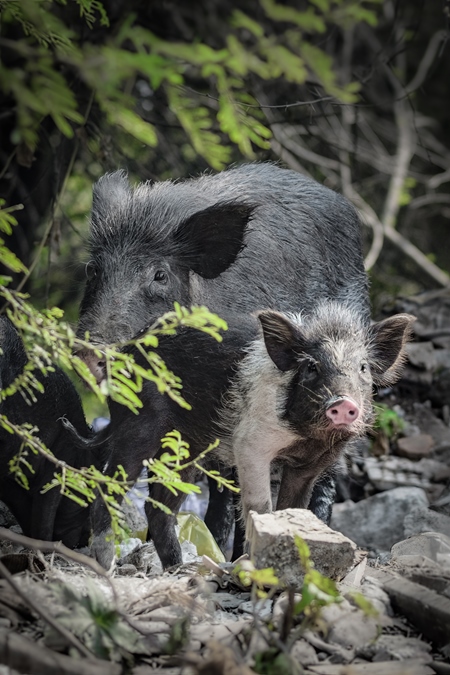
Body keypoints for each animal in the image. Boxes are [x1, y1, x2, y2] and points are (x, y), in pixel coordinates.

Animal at [88, 302, 414, 572]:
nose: (343, 402)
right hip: (137, 425)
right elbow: (260, 506)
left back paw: (179, 569)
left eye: (363, 368)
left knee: (158, 507)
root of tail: (125, 351)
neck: (305, 438)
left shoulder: (310, 465)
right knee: (109, 489)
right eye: (311, 366)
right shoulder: (251, 443)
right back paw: (105, 567)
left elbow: (294, 508)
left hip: (184, 447)